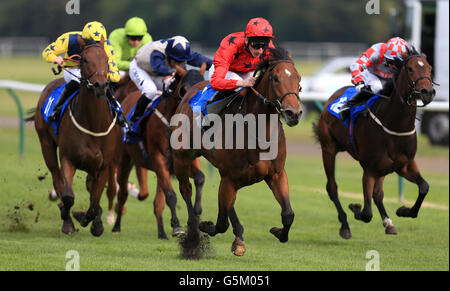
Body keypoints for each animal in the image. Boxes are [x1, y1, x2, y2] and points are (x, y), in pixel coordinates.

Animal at [33, 37, 121, 237]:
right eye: (85, 60)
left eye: (106, 59)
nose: (100, 86)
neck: (94, 124)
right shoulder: (68, 159)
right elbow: (67, 196)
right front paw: (69, 219)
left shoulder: (103, 165)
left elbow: (95, 202)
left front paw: (94, 223)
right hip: (46, 145)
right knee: (57, 179)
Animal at [111, 64, 207, 240]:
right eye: (184, 90)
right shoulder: (159, 159)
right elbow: (171, 195)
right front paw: (177, 227)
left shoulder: (182, 163)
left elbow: (200, 178)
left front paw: (196, 213)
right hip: (123, 161)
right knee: (122, 193)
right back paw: (116, 226)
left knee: (157, 202)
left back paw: (161, 232)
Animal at [171, 48, 302, 258]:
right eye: (275, 78)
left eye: (298, 78)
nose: (294, 114)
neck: (259, 132)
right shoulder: (229, 177)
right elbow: (220, 223)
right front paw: (204, 226)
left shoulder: (276, 174)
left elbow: (288, 214)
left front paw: (278, 231)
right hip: (182, 158)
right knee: (186, 189)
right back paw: (192, 233)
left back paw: (238, 238)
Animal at [312, 48, 436, 240]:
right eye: (410, 69)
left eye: (429, 68)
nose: (427, 92)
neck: (395, 125)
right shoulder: (369, 171)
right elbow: (366, 213)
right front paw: (355, 207)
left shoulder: (404, 165)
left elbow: (424, 187)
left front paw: (403, 211)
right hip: (329, 149)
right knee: (332, 188)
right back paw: (345, 226)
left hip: (381, 168)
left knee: (378, 194)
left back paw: (388, 223)